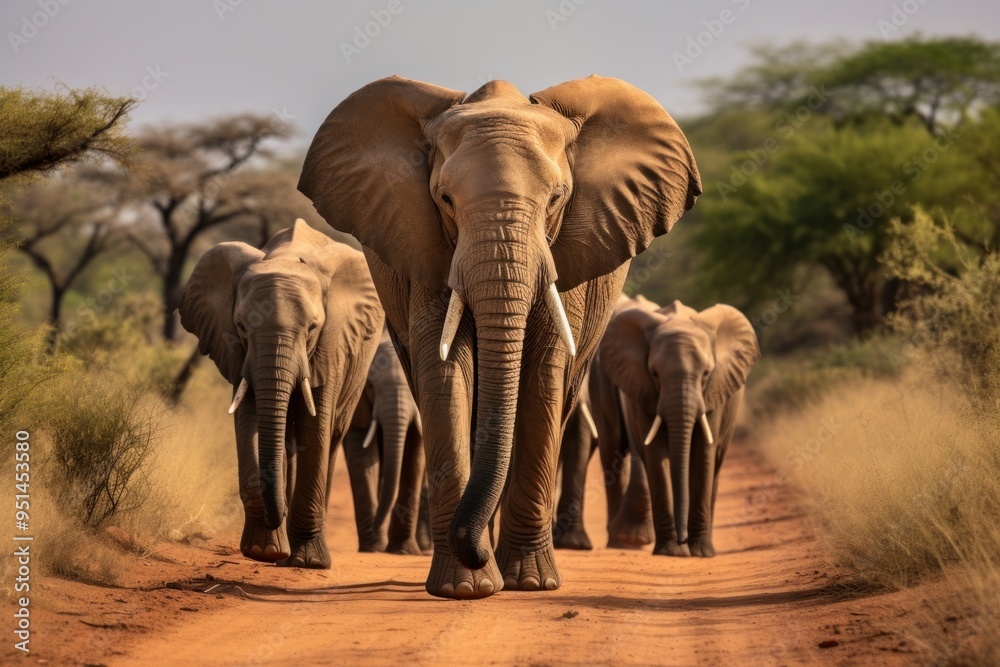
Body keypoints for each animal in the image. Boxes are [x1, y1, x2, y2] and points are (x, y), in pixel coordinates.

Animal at [178, 219, 384, 568]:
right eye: (241, 326)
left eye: (312, 328)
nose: (277, 515)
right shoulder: (239, 354)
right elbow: (248, 419)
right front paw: (264, 551)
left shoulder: (331, 345)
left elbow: (316, 429)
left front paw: (309, 562)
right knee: (287, 440)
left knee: (331, 439)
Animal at [344, 328, 426, 554]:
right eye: (370, 387)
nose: (375, 525)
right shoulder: (358, 404)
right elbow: (361, 457)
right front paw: (374, 548)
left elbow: (414, 459)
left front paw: (404, 551)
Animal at [601, 297, 760, 557]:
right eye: (655, 374)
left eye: (706, 374)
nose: (683, 539)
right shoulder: (643, 390)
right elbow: (656, 454)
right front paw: (671, 552)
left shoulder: (715, 390)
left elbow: (704, 452)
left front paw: (700, 554)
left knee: (715, 464)